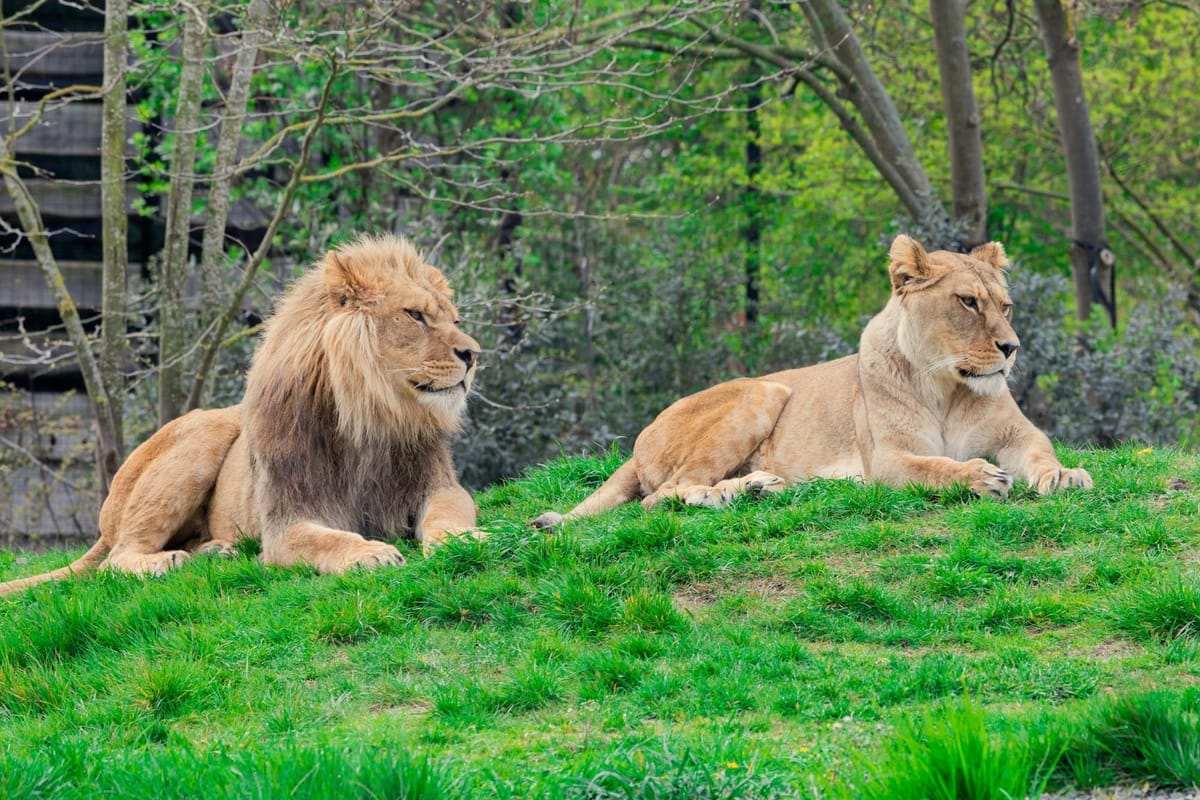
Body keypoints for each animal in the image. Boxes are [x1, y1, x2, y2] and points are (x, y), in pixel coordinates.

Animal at [5, 231, 482, 594]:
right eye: (414, 315)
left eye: (454, 319)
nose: (473, 354)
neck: (371, 419)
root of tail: (105, 522)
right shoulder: (286, 521)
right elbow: (327, 541)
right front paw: (371, 551)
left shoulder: (439, 486)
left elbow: (448, 515)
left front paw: (467, 540)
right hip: (204, 433)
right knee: (115, 560)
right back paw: (165, 561)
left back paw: (217, 551)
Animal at [535, 235, 1089, 527]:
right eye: (968, 302)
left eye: (1005, 306)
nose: (1012, 348)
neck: (948, 387)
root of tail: (637, 444)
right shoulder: (887, 459)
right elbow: (936, 468)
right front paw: (980, 477)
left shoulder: (1017, 434)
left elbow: (1041, 452)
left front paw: (1064, 476)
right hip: (763, 389)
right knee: (665, 495)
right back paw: (737, 490)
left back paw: (758, 487)